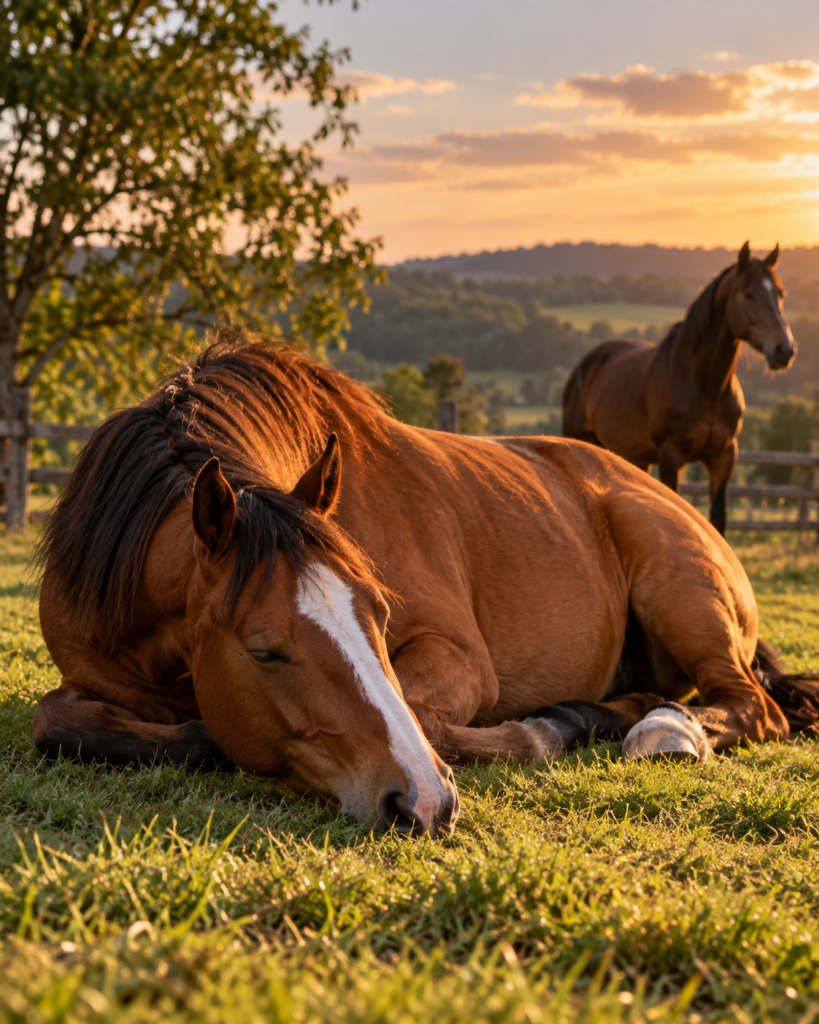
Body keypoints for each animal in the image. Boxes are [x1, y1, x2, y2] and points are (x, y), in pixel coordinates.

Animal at [32, 339, 819, 838]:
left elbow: (422, 714)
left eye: (380, 614)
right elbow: (56, 721)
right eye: (264, 651)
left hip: (680, 589)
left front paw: (544, 730)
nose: (426, 804)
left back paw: (660, 732)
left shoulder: (457, 657)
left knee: (749, 705)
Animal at [561, 243, 795, 534]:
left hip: (635, 457)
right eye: (749, 294)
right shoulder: (670, 455)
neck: (705, 386)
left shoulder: (724, 455)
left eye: (780, 293)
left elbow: (717, 516)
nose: (784, 349)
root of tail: (586, 364)